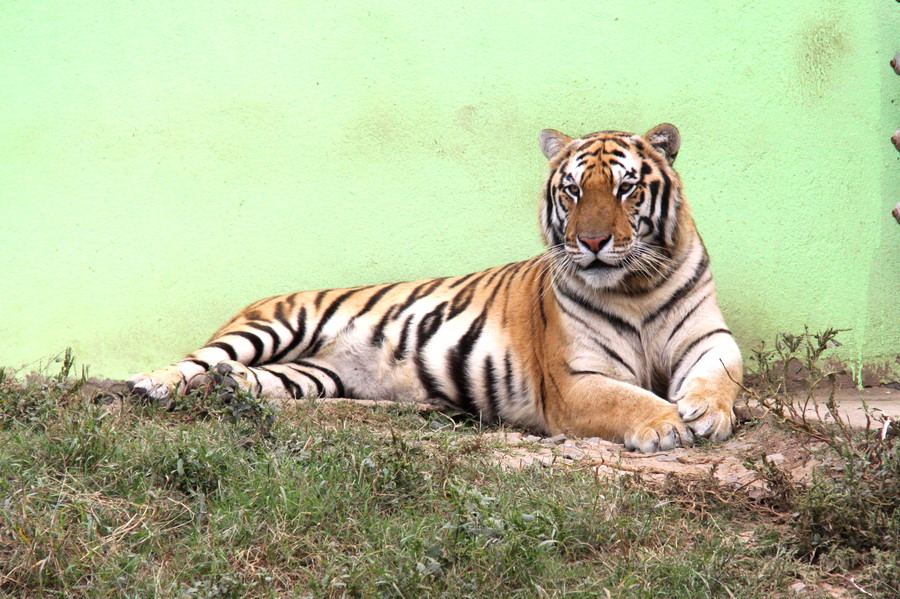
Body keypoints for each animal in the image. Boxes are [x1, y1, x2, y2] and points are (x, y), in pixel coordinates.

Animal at [128, 125, 744, 454]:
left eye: (626, 188)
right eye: (571, 191)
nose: (591, 241)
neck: (635, 287)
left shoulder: (708, 338)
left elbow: (723, 373)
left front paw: (705, 412)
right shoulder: (575, 379)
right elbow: (627, 398)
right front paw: (666, 424)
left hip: (311, 375)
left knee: (240, 376)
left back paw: (231, 386)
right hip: (277, 325)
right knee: (197, 360)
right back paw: (148, 385)